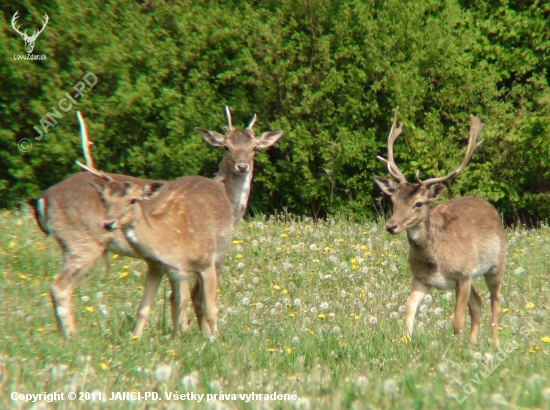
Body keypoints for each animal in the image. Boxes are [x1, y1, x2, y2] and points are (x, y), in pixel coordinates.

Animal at [376, 108, 508, 346]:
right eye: (393, 200)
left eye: (419, 203)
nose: (391, 226)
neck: (436, 259)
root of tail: (491, 208)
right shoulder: (421, 278)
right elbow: (409, 309)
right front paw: (406, 342)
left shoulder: (463, 274)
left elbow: (457, 320)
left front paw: (455, 350)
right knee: (478, 303)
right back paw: (472, 343)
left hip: (495, 265)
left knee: (495, 300)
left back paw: (493, 344)